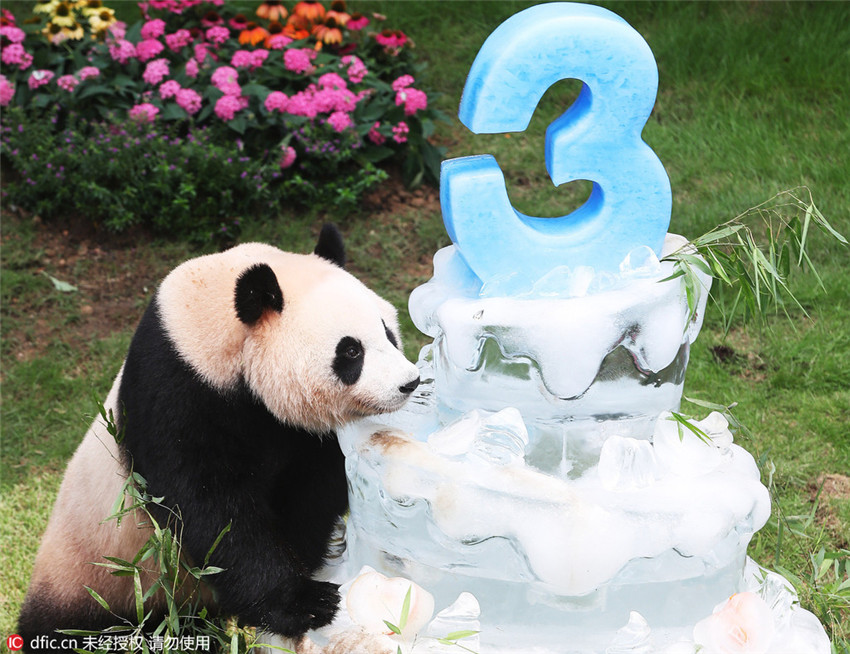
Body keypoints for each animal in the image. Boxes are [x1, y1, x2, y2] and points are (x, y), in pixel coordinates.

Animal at [17, 224, 420, 653]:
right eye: (351, 351)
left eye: (388, 333)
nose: (408, 383)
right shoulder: (177, 389)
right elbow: (208, 508)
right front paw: (305, 603)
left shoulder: (301, 436)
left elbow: (309, 495)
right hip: (97, 573)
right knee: (74, 626)